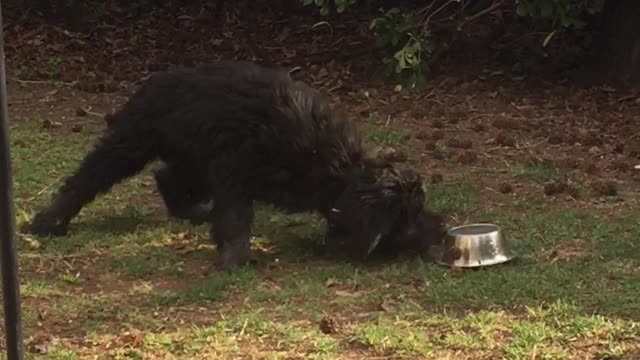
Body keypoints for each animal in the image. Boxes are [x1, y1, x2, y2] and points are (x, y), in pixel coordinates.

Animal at [26, 60, 444, 270]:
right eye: (410, 216)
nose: (441, 232)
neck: (335, 167)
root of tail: (157, 79)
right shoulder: (234, 170)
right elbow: (235, 218)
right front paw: (235, 258)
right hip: (135, 141)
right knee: (89, 176)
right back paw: (49, 220)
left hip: (194, 159)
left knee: (168, 177)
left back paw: (192, 212)